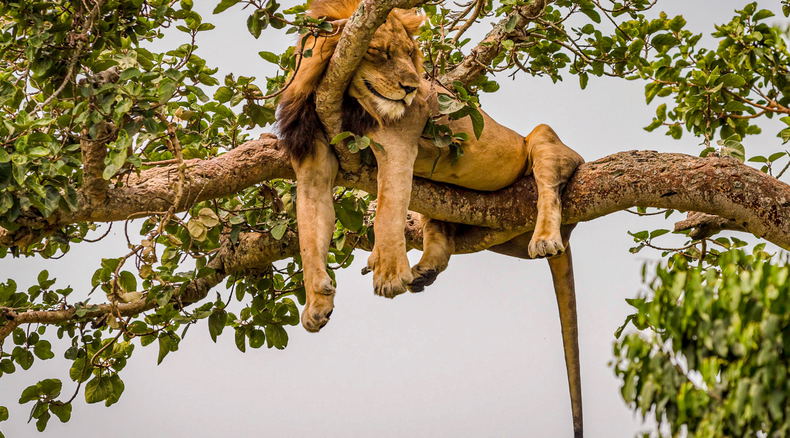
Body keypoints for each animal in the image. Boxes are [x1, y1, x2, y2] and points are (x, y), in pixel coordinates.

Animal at [277, 1, 585, 436]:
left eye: (410, 54)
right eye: (379, 52)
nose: (411, 88)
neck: (343, 101)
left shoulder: (398, 141)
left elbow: (388, 210)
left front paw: (390, 274)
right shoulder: (313, 160)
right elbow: (309, 233)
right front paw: (318, 302)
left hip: (543, 140)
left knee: (549, 187)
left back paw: (543, 238)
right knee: (442, 233)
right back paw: (422, 270)